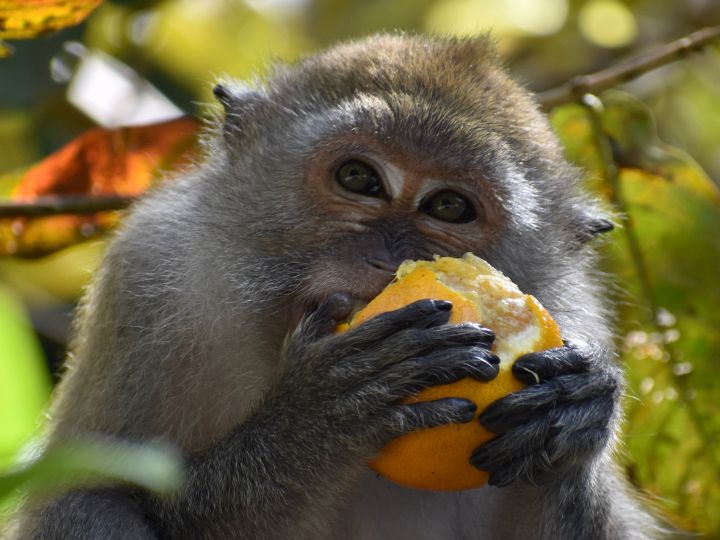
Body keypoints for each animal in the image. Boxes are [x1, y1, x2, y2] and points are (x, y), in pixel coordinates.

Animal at [11, 33, 664, 540]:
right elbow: (99, 492)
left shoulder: (577, 315)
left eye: (449, 207)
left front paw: (578, 411)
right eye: (359, 178)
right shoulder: (151, 275)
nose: (383, 261)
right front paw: (316, 420)